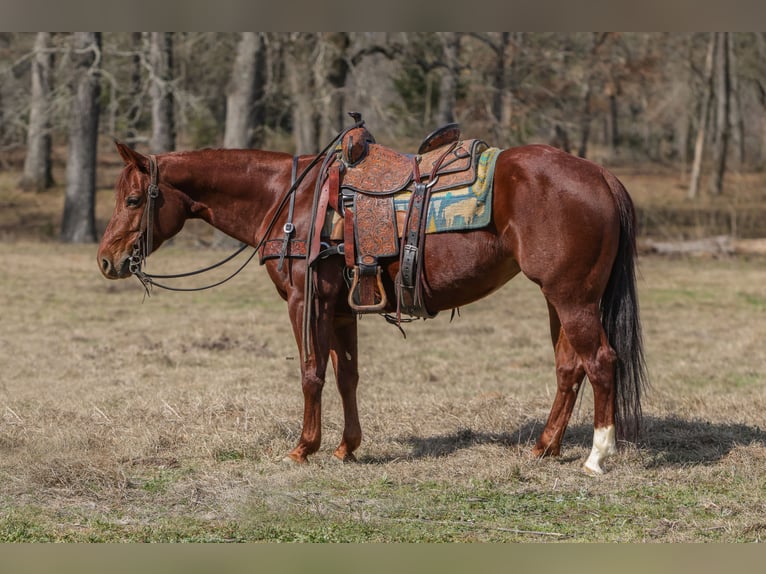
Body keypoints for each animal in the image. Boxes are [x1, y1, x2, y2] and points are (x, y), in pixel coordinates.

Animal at [97, 133, 647, 475]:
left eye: (132, 200)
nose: (106, 260)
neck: (290, 202)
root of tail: (601, 175)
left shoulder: (305, 302)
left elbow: (311, 373)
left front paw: (303, 448)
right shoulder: (341, 308)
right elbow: (347, 376)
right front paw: (347, 447)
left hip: (573, 297)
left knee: (601, 361)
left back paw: (596, 457)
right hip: (559, 299)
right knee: (569, 368)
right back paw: (544, 447)